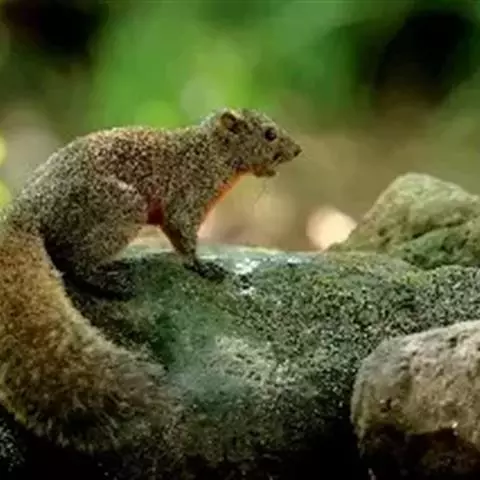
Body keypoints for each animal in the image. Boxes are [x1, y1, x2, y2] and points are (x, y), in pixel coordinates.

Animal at [0, 108, 301, 465]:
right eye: (269, 134)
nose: (297, 150)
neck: (209, 152)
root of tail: (26, 210)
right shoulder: (187, 197)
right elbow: (183, 235)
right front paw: (204, 267)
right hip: (122, 208)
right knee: (70, 260)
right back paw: (111, 280)